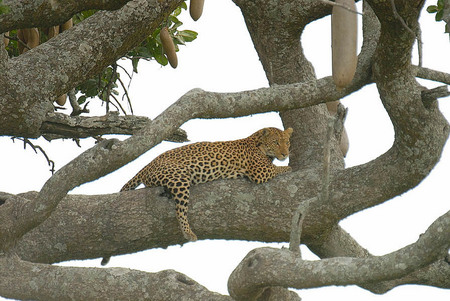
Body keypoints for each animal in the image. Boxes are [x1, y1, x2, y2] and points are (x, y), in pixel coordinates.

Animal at [100, 126, 294, 264]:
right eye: (276, 142)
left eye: (287, 142)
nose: (286, 153)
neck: (257, 142)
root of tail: (148, 164)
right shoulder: (260, 172)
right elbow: (280, 168)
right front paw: (289, 166)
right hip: (179, 179)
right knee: (180, 209)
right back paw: (188, 233)